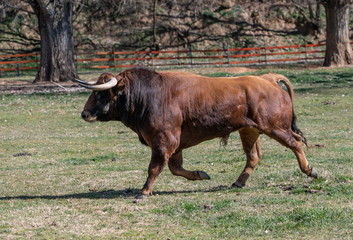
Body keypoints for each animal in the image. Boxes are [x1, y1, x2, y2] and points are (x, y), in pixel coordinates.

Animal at [76, 66, 316, 198]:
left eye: (101, 94)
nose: (84, 114)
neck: (148, 94)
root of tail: (267, 78)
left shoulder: (164, 140)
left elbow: (155, 168)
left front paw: (143, 192)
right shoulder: (174, 145)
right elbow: (175, 168)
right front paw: (200, 174)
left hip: (275, 128)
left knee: (295, 142)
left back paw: (310, 170)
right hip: (249, 130)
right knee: (254, 156)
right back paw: (238, 182)